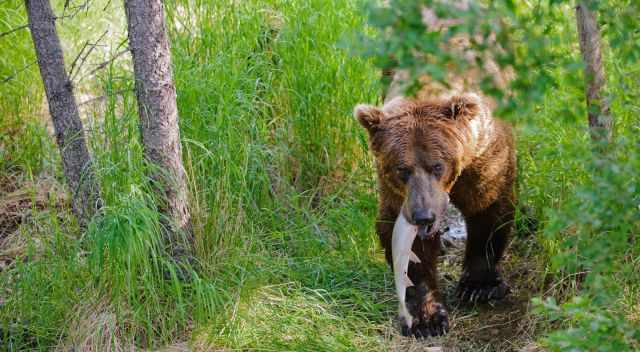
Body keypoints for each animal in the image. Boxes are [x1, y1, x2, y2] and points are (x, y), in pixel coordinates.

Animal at [352, 94, 516, 338]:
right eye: (402, 169)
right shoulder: (397, 196)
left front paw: (478, 288)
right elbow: (412, 251)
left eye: (438, 166)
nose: (424, 216)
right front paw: (428, 320)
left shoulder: (483, 160)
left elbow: (487, 209)